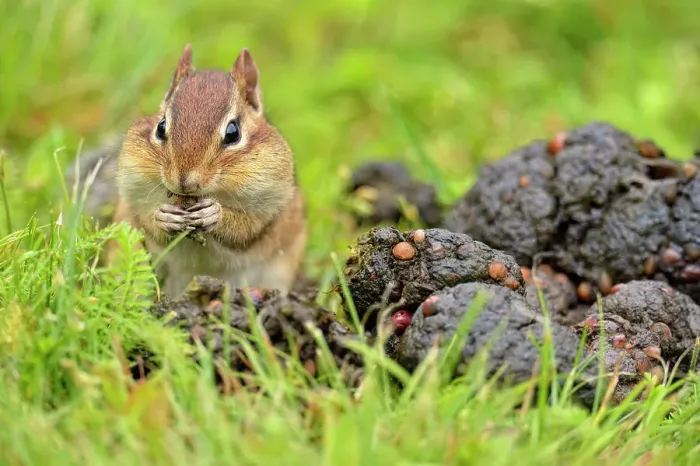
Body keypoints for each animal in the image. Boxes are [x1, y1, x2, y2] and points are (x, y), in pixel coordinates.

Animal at [109, 44, 307, 297]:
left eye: (233, 133)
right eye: (161, 127)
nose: (184, 181)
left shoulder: (270, 206)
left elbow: (246, 229)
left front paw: (214, 213)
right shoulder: (133, 195)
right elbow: (147, 223)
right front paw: (164, 216)